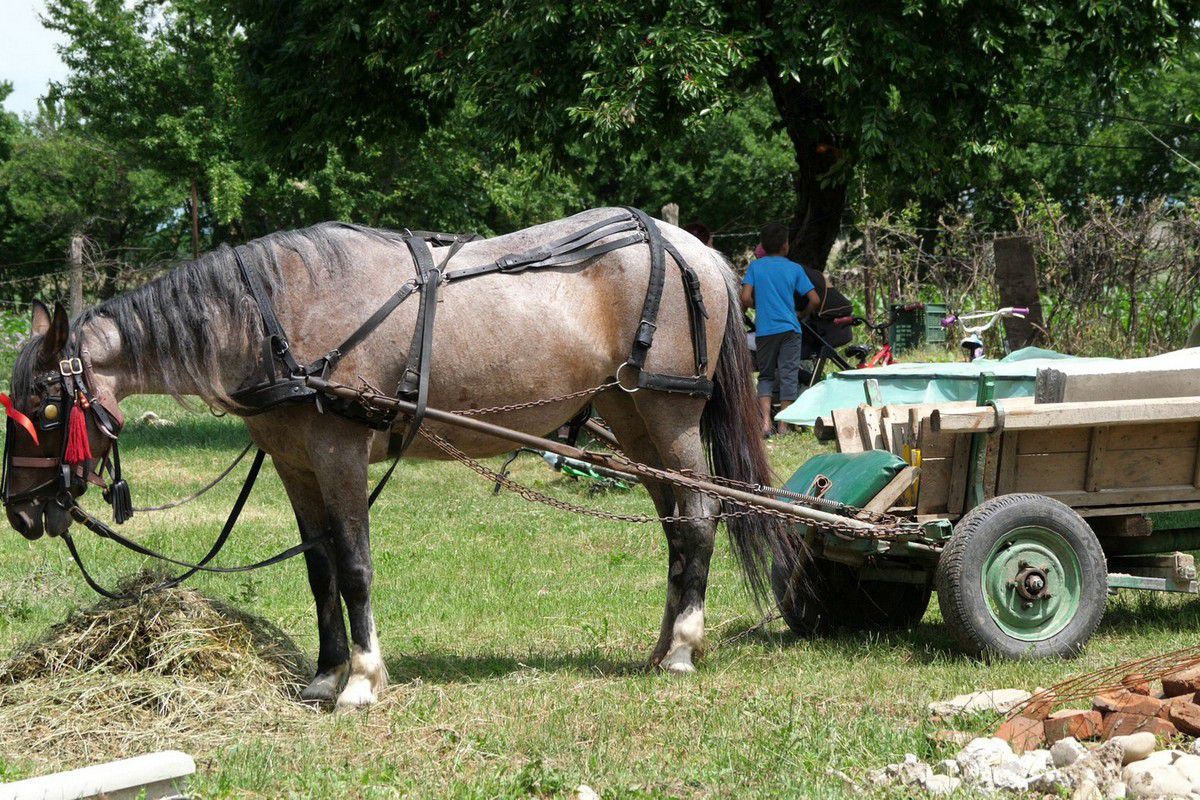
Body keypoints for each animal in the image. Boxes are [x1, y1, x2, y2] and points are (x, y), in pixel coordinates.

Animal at [4, 208, 792, 714]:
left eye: (48, 407)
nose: (21, 512)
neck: (274, 315)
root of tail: (698, 252)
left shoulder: (339, 452)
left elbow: (353, 565)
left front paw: (361, 680)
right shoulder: (296, 462)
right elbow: (319, 567)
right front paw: (325, 676)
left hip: (669, 417)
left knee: (699, 518)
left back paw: (683, 646)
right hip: (633, 424)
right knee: (675, 530)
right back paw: (659, 646)